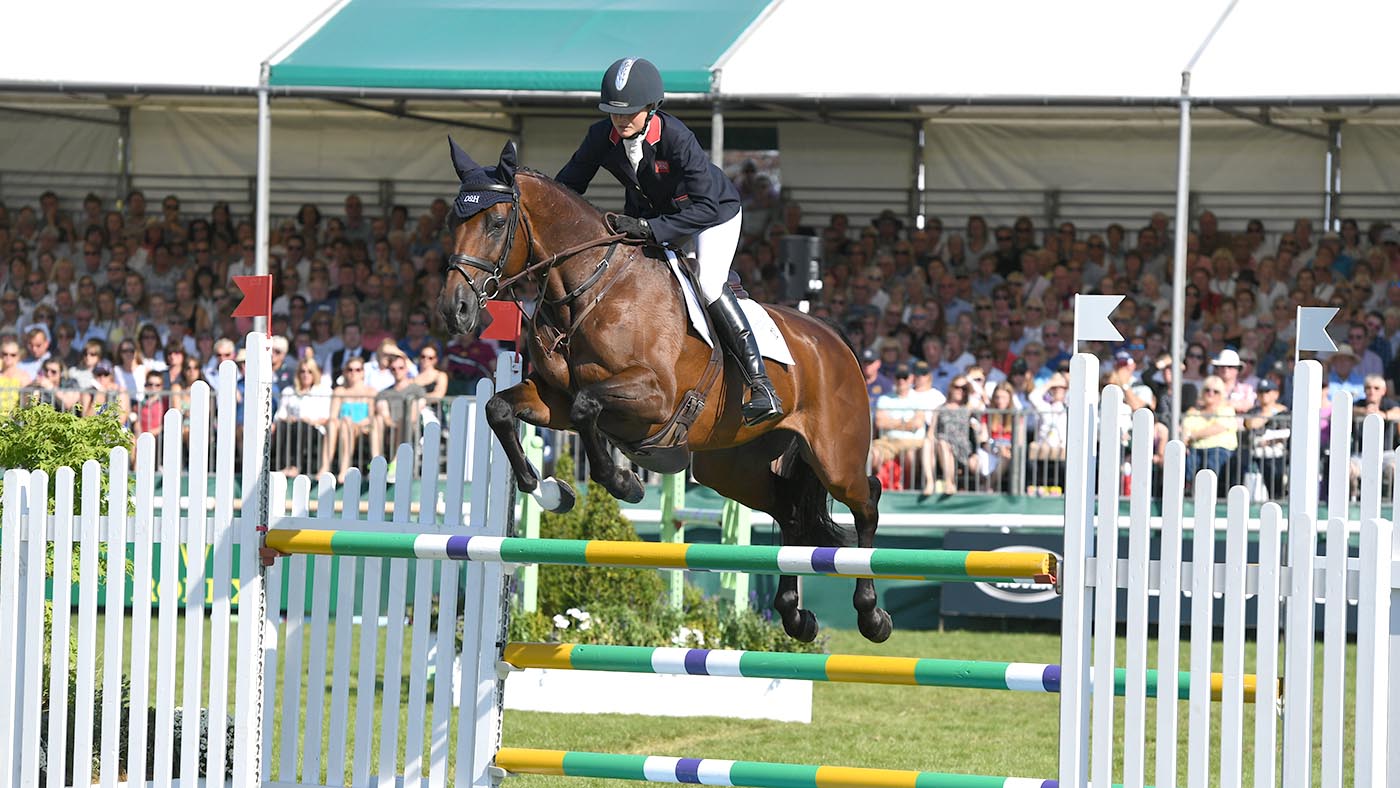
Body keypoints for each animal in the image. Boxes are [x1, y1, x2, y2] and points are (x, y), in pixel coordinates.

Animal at [436, 139, 890, 643]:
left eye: (497, 223)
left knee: (866, 499)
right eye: (452, 222)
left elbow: (587, 407)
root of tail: (834, 338)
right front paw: (547, 490)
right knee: (790, 510)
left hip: (833, 457)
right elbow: (501, 408)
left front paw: (623, 483)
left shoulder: (654, 397)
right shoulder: (552, 399)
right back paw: (796, 617)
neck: (589, 287)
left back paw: (872, 616)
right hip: (732, 467)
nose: (455, 310)